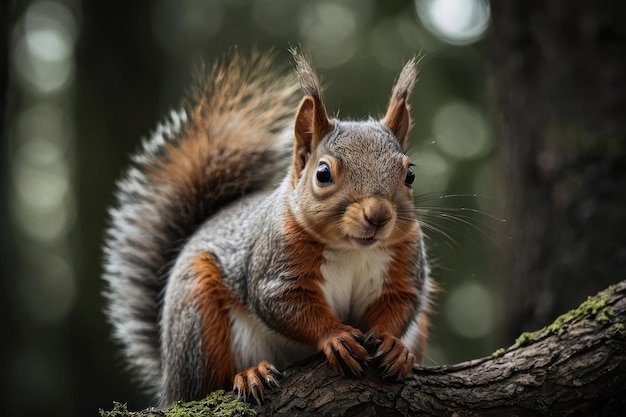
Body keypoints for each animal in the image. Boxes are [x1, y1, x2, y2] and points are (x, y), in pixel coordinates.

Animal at [103, 48, 434, 406]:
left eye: (410, 174)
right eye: (323, 174)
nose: (379, 215)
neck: (352, 249)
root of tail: (168, 379)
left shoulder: (405, 262)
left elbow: (401, 302)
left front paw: (393, 345)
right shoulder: (276, 263)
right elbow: (284, 304)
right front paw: (336, 336)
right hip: (197, 320)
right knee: (205, 386)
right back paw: (249, 375)